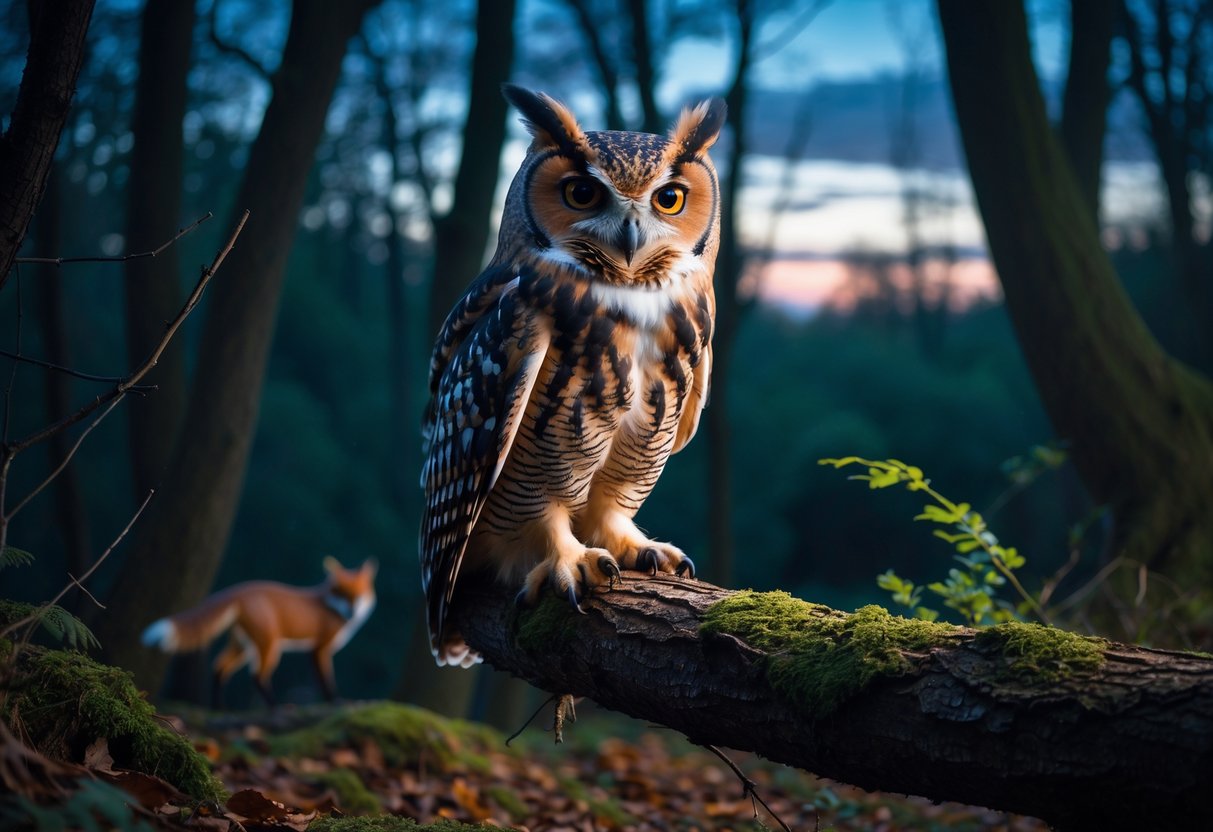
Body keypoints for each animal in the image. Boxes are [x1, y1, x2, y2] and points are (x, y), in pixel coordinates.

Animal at [141, 557, 377, 707]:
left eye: (358, 595)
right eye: (343, 593)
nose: (352, 611)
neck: (328, 604)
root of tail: (241, 588)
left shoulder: (319, 648)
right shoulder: (320, 648)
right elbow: (326, 681)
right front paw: (335, 701)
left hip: (242, 646)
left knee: (219, 667)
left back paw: (218, 707)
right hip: (270, 645)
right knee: (257, 675)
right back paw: (275, 706)